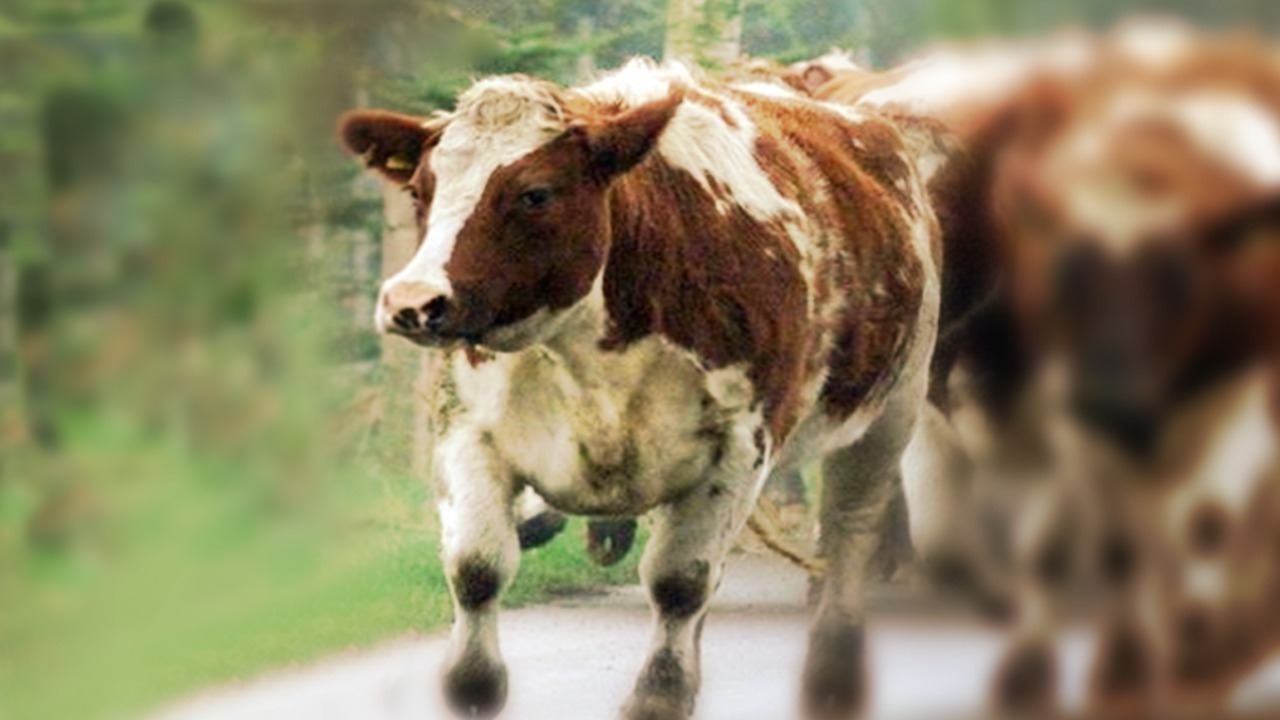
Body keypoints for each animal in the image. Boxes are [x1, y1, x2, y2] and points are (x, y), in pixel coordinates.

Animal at [337, 59, 940, 720]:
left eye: (535, 193)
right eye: (421, 192)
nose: (412, 301)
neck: (591, 355)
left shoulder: (738, 446)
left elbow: (681, 581)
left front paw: (660, 695)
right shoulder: (469, 431)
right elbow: (476, 565)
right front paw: (474, 687)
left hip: (891, 412)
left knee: (848, 537)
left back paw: (834, 669)